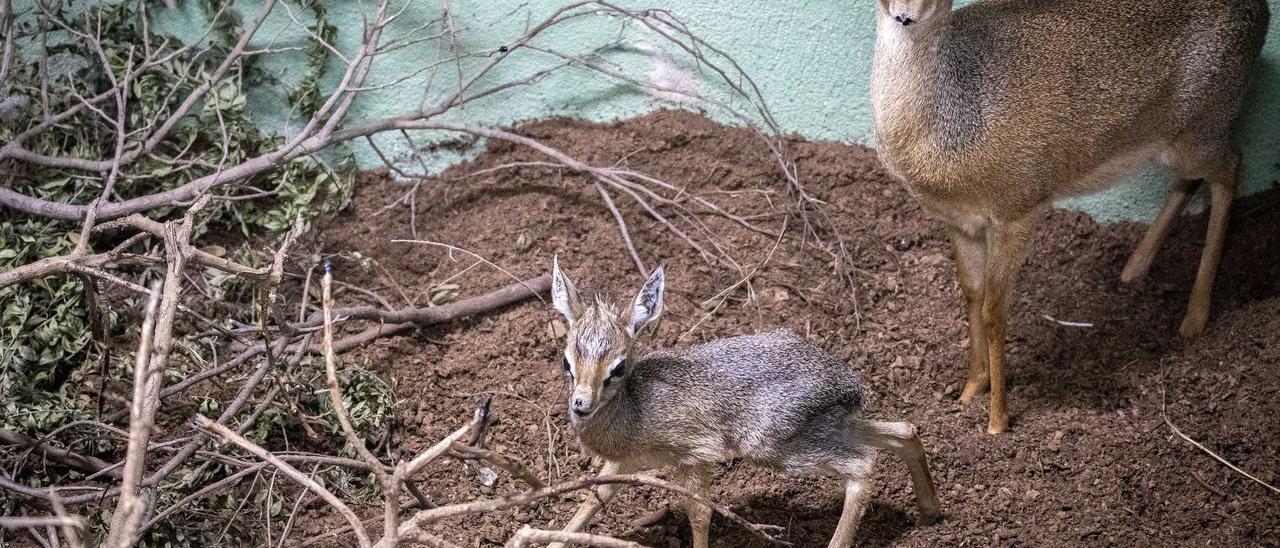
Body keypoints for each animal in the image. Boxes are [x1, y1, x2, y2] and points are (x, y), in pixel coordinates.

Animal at [547, 258, 942, 548]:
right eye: (566, 361)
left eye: (617, 367)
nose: (581, 403)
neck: (634, 409)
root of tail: (849, 385)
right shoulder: (626, 462)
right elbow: (591, 498)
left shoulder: (696, 455)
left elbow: (699, 513)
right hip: (832, 425)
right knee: (902, 431)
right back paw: (932, 514)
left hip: (773, 447)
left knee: (863, 465)